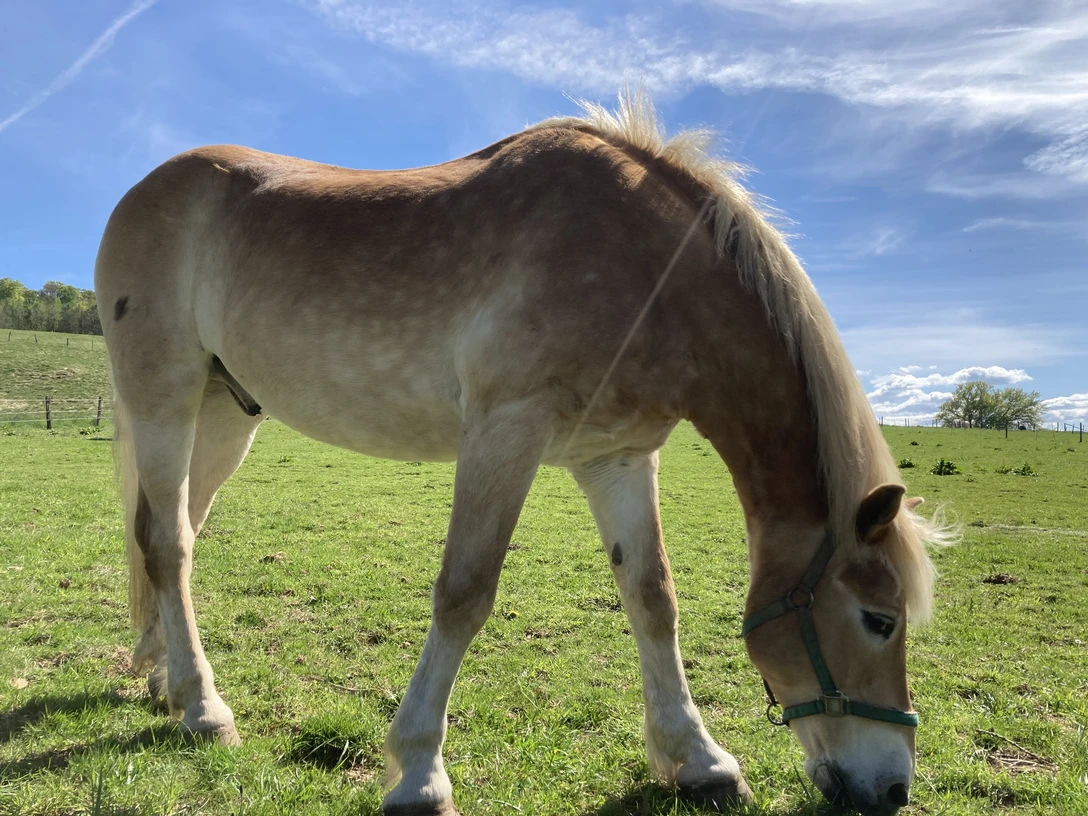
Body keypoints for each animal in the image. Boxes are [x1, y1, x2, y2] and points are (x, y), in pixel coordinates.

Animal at [94, 87, 956, 816]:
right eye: (879, 620)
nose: (892, 790)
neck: (648, 270)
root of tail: (144, 191)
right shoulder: (505, 431)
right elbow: (464, 593)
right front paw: (419, 771)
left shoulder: (617, 459)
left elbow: (653, 599)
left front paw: (701, 760)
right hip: (165, 398)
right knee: (168, 543)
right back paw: (204, 709)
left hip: (225, 413)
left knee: (173, 534)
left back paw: (164, 678)